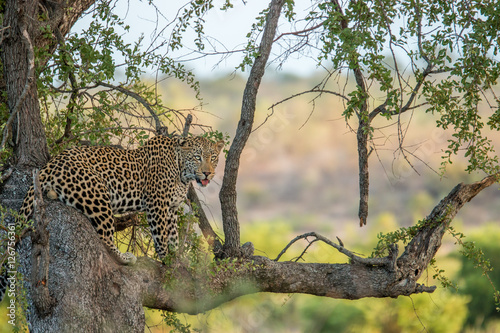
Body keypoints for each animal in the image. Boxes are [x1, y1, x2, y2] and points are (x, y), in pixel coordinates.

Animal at [11, 134, 223, 266]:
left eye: (213, 158)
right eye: (197, 157)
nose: (208, 173)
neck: (182, 172)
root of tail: (51, 163)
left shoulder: (170, 208)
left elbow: (172, 235)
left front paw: (176, 259)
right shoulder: (157, 205)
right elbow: (161, 235)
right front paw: (166, 259)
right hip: (98, 195)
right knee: (105, 237)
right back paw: (126, 258)